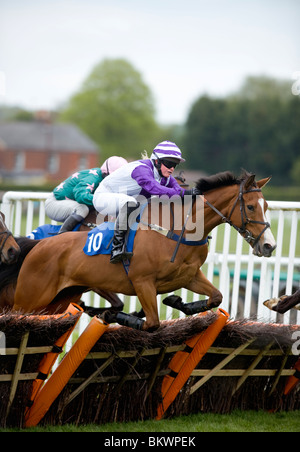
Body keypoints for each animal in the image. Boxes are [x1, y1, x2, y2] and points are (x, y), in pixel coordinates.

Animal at [9, 171, 276, 330]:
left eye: (267, 206)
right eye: (250, 207)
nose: (269, 245)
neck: (177, 230)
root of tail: (39, 246)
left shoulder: (189, 276)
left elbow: (216, 297)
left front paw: (178, 302)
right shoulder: (142, 282)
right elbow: (152, 323)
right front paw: (114, 316)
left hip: (59, 299)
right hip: (30, 298)